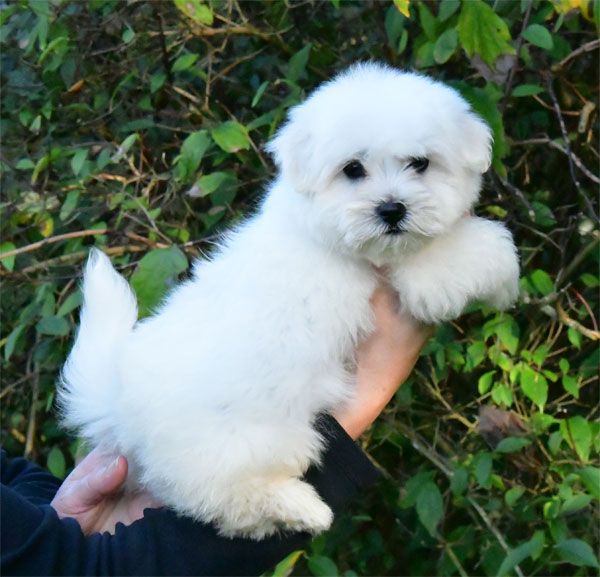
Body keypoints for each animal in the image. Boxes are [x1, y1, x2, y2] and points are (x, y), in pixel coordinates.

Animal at [62, 64, 520, 540]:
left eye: (420, 163)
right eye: (352, 169)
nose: (391, 209)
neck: (328, 232)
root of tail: (119, 402)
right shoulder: (421, 273)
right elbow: (489, 247)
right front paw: (508, 286)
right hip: (246, 442)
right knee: (227, 499)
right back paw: (305, 509)